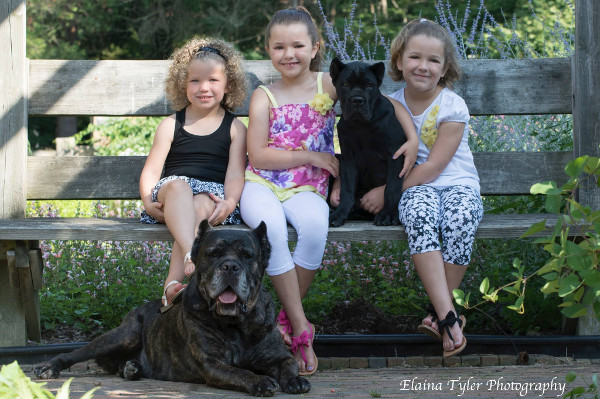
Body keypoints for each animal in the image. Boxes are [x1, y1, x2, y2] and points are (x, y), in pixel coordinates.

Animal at [34, 222, 310, 396]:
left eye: (247, 255)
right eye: (213, 254)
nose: (230, 266)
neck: (236, 325)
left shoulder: (277, 355)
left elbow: (289, 364)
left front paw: (295, 380)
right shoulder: (213, 364)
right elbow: (241, 372)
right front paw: (260, 381)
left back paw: (131, 367)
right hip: (123, 335)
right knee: (76, 353)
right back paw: (49, 367)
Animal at [328, 57, 408, 227]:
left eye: (369, 85)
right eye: (345, 84)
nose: (357, 100)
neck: (362, 125)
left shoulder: (395, 154)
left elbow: (392, 186)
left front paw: (388, 214)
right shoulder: (348, 158)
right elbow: (346, 190)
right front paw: (339, 214)